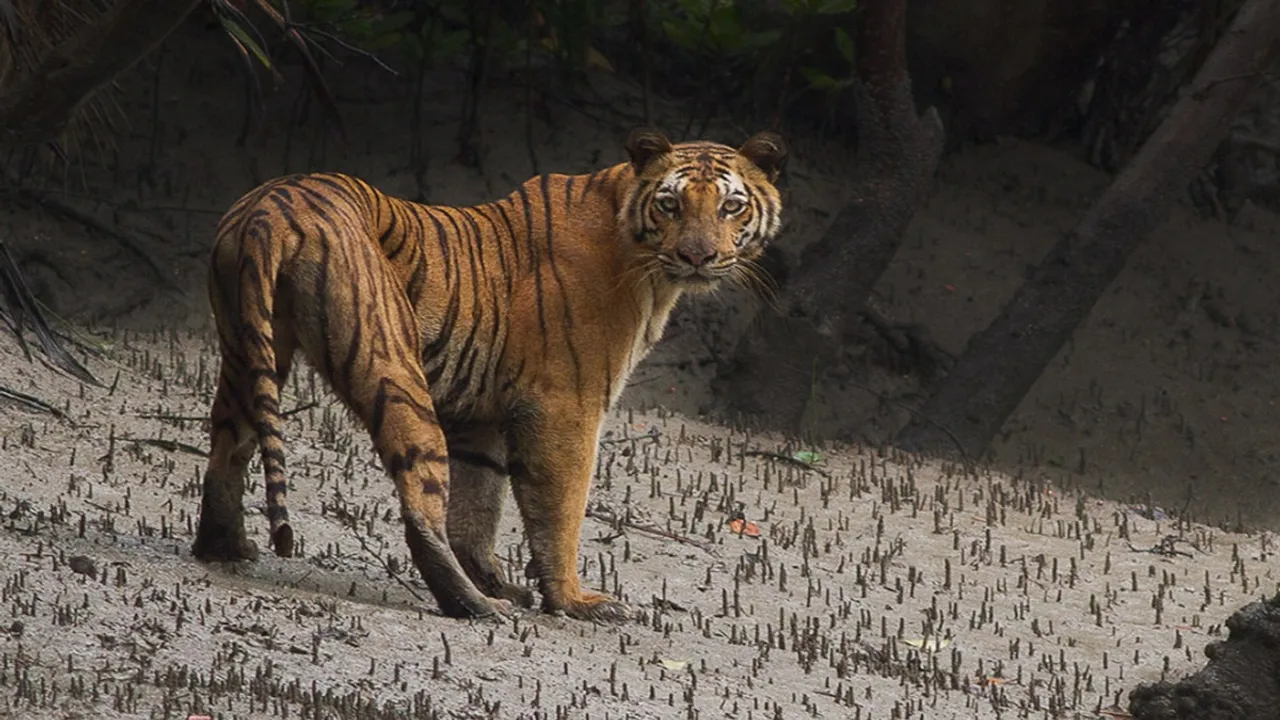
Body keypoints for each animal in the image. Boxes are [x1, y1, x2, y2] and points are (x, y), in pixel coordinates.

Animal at [190, 127, 788, 617]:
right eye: (670, 204)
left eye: (731, 206)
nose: (697, 256)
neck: (648, 270)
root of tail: (272, 205)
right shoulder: (565, 406)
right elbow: (560, 510)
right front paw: (571, 600)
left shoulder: (481, 418)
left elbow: (478, 506)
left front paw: (501, 583)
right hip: (393, 369)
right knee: (420, 501)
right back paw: (474, 607)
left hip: (251, 349)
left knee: (228, 447)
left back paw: (224, 548)